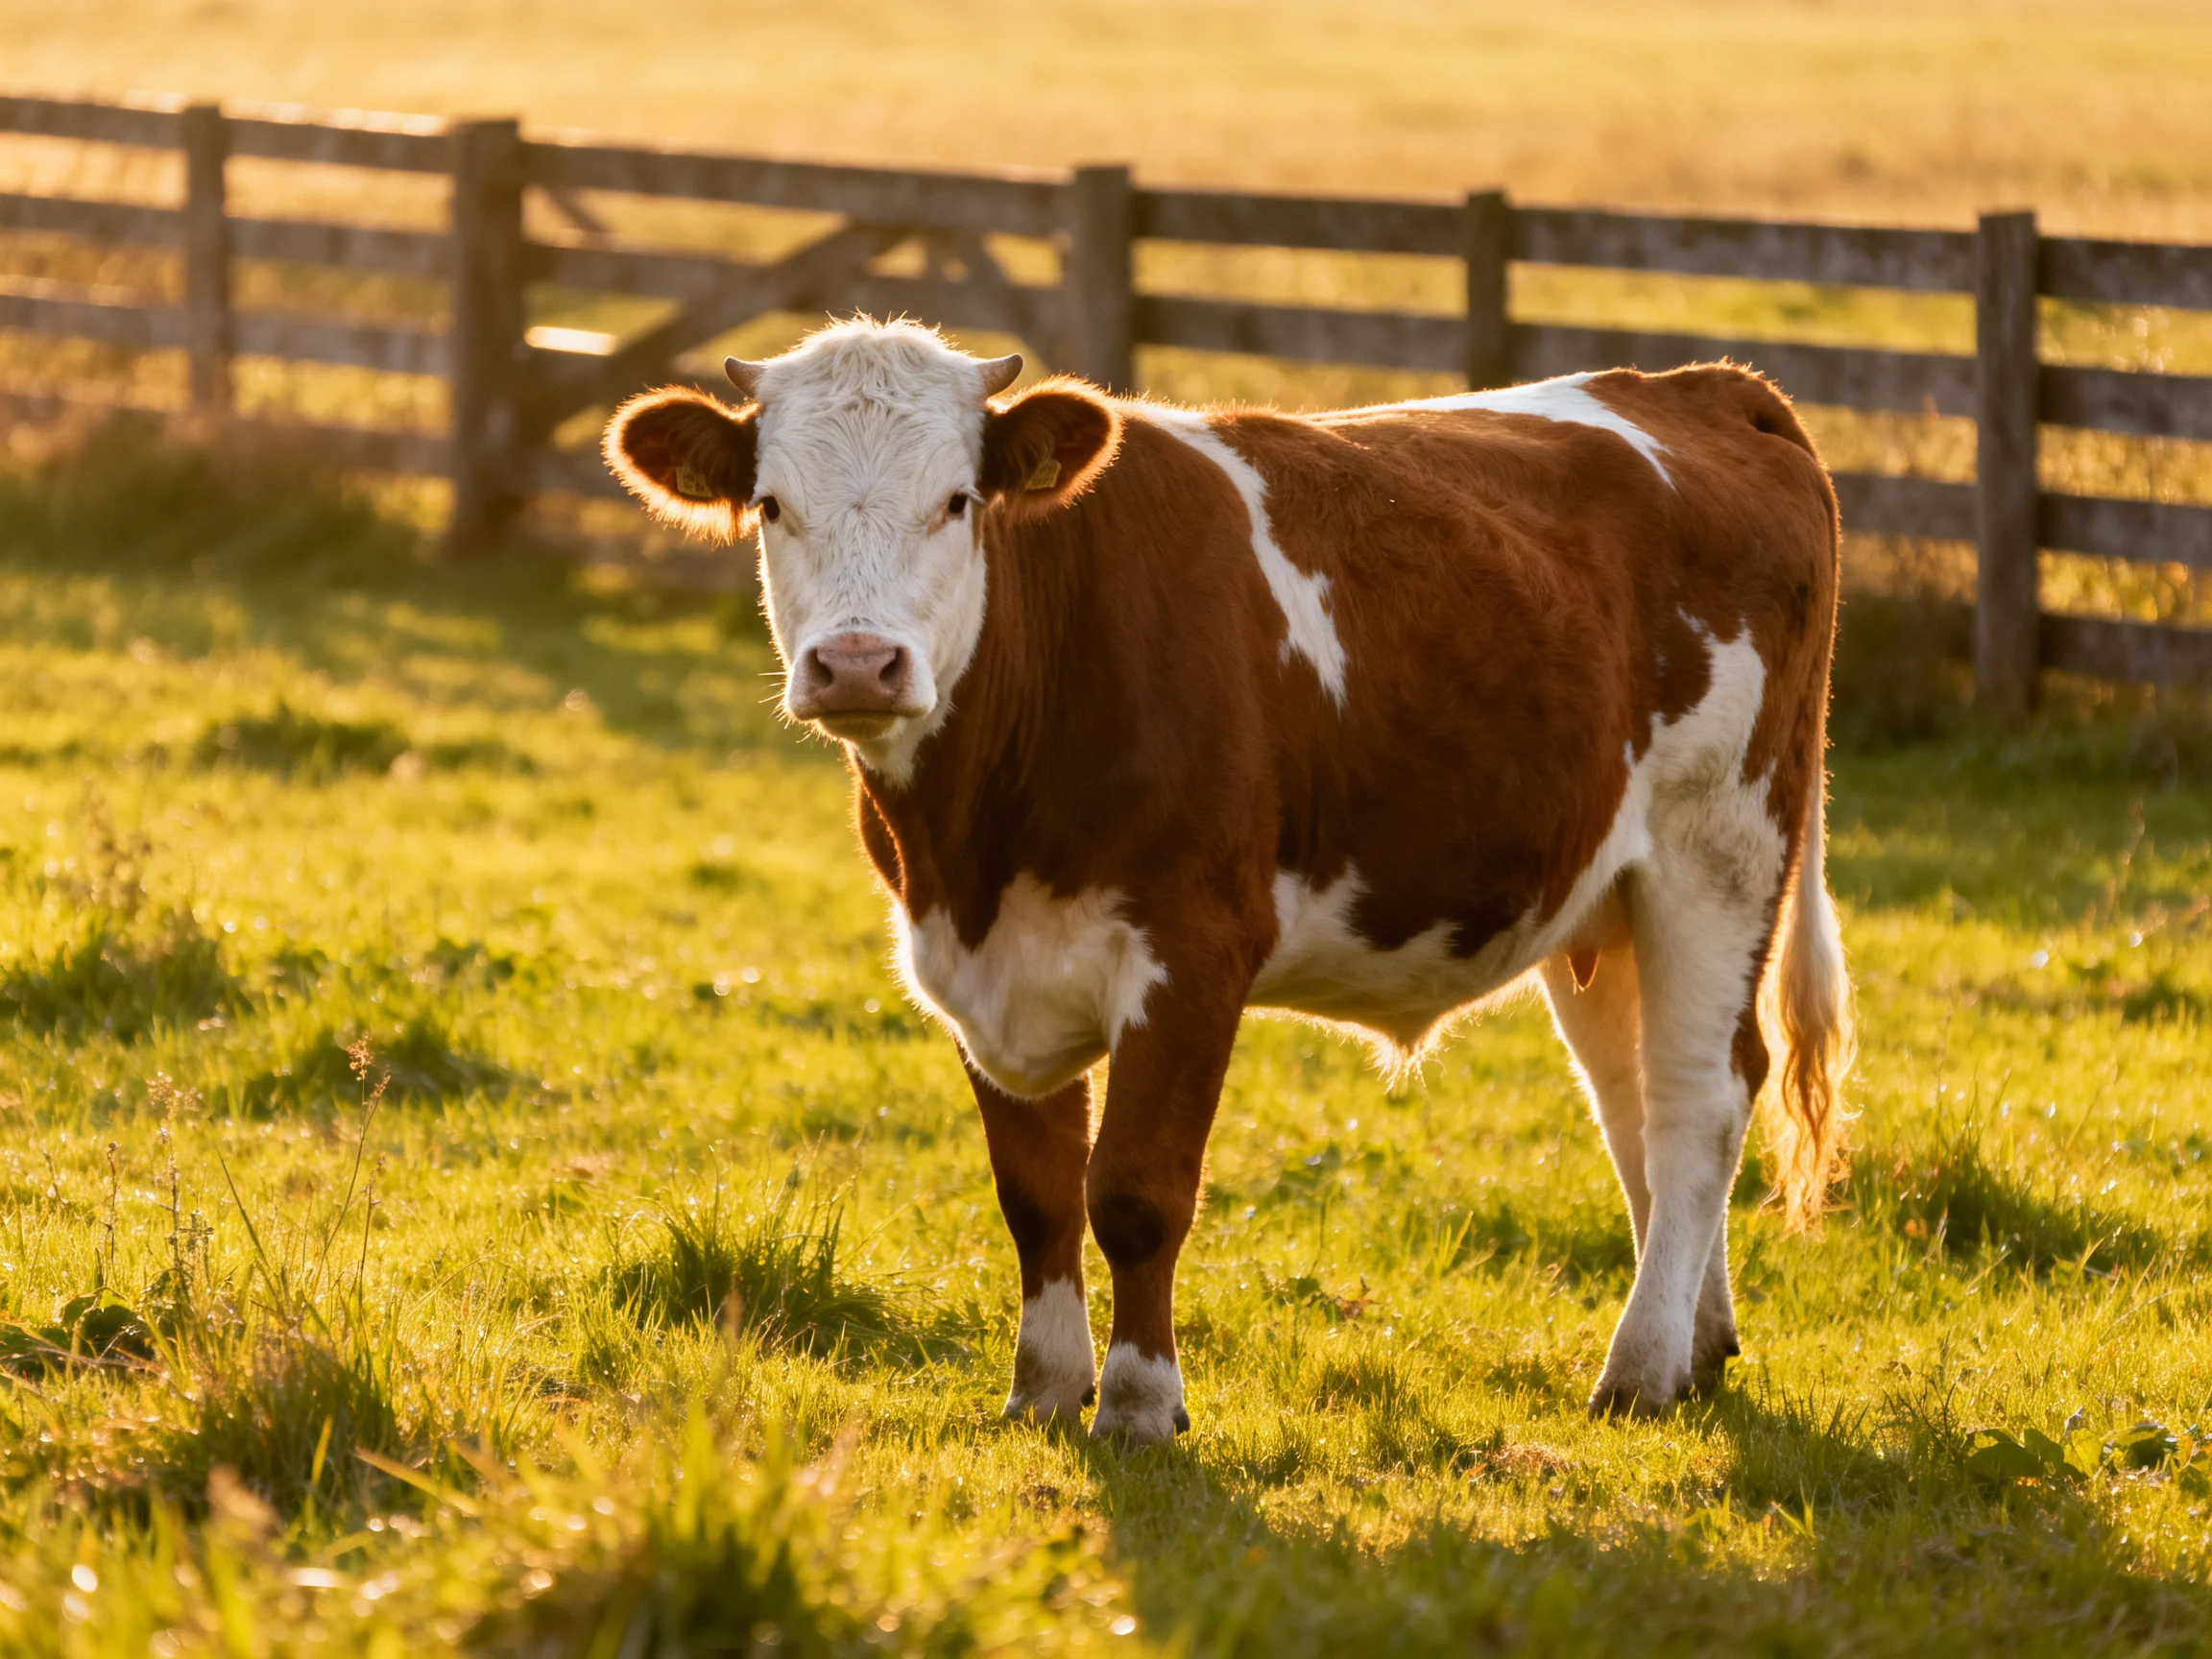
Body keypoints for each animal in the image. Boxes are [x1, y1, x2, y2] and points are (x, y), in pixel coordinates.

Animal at [603, 317, 1854, 1443]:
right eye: (772, 506)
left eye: (958, 502)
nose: (858, 664)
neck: (976, 841)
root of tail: (1705, 383)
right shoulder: (975, 966)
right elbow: (1036, 1194)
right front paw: (1043, 1391)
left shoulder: (1194, 948)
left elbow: (1136, 1193)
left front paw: (1139, 1404)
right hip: (1602, 890)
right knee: (1632, 1098)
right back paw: (1696, 1343)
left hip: (1721, 845)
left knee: (1702, 1094)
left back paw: (1639, 1370)